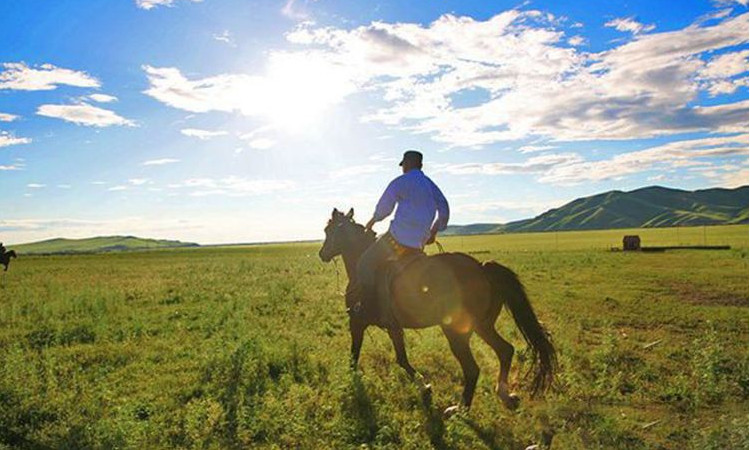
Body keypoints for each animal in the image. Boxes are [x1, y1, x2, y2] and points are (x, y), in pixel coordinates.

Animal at [318, 209, 560, 416]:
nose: (322, 254)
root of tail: (482, 268)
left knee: (473, 369)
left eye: (328, 230)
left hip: (456, 332)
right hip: (483, 326)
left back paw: (459, 410)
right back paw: (505, 394)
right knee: (505, 350)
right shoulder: (390, 327)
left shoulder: (361, 323)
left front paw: (423, 385)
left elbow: (372, 357)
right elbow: (387, 357)